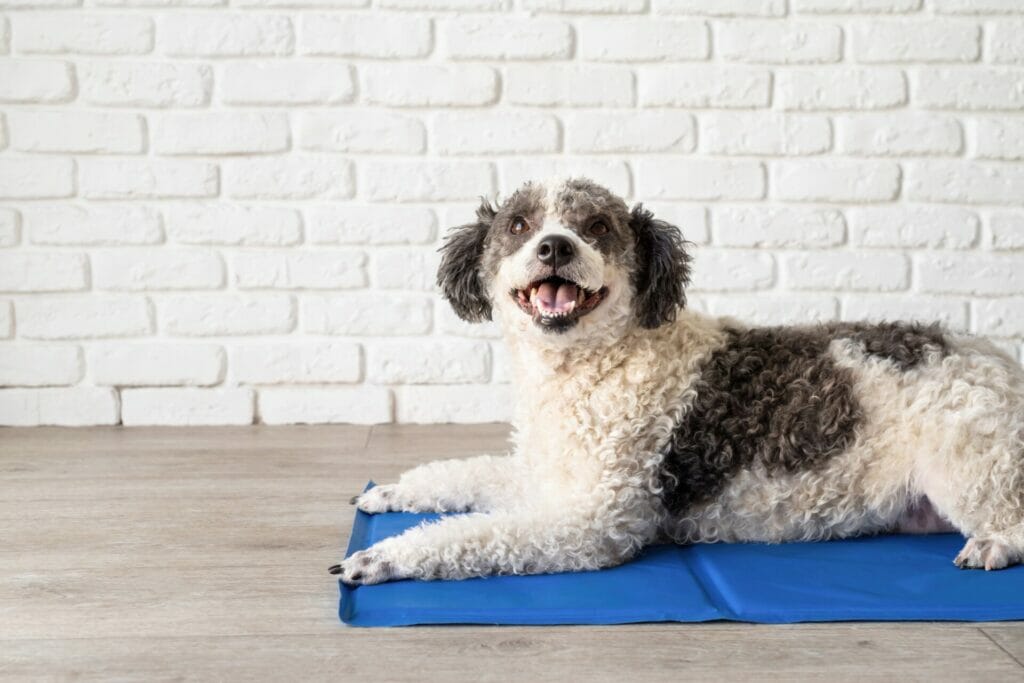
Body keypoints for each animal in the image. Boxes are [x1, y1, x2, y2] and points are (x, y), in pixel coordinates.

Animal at [327, 178, 1024, 589]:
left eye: (597, 226)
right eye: (519, 225)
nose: (555, 246)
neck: (594, 367)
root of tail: (996, 359)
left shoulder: (595, 518)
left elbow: (474, 535)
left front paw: (385, 557)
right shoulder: (544, 476)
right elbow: (461, 475)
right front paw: (391, 491)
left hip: (970, 464)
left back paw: (993, 545)